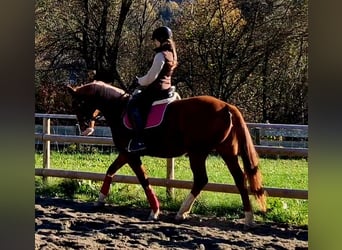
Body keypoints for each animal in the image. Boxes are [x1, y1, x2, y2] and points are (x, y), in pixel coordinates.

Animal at [66, 81, 264, 227]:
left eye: (78, 104)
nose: (86, 129)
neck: (119, 109)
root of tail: (226, 106)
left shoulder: (131, 155)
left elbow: (143, 179)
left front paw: (154, 211)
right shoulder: (125, 153)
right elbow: (111, 171)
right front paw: (100, 199)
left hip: (198, 152)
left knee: (201, 179)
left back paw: (181, 213)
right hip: (226, 151)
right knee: (239, 179)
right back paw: (248, 218)